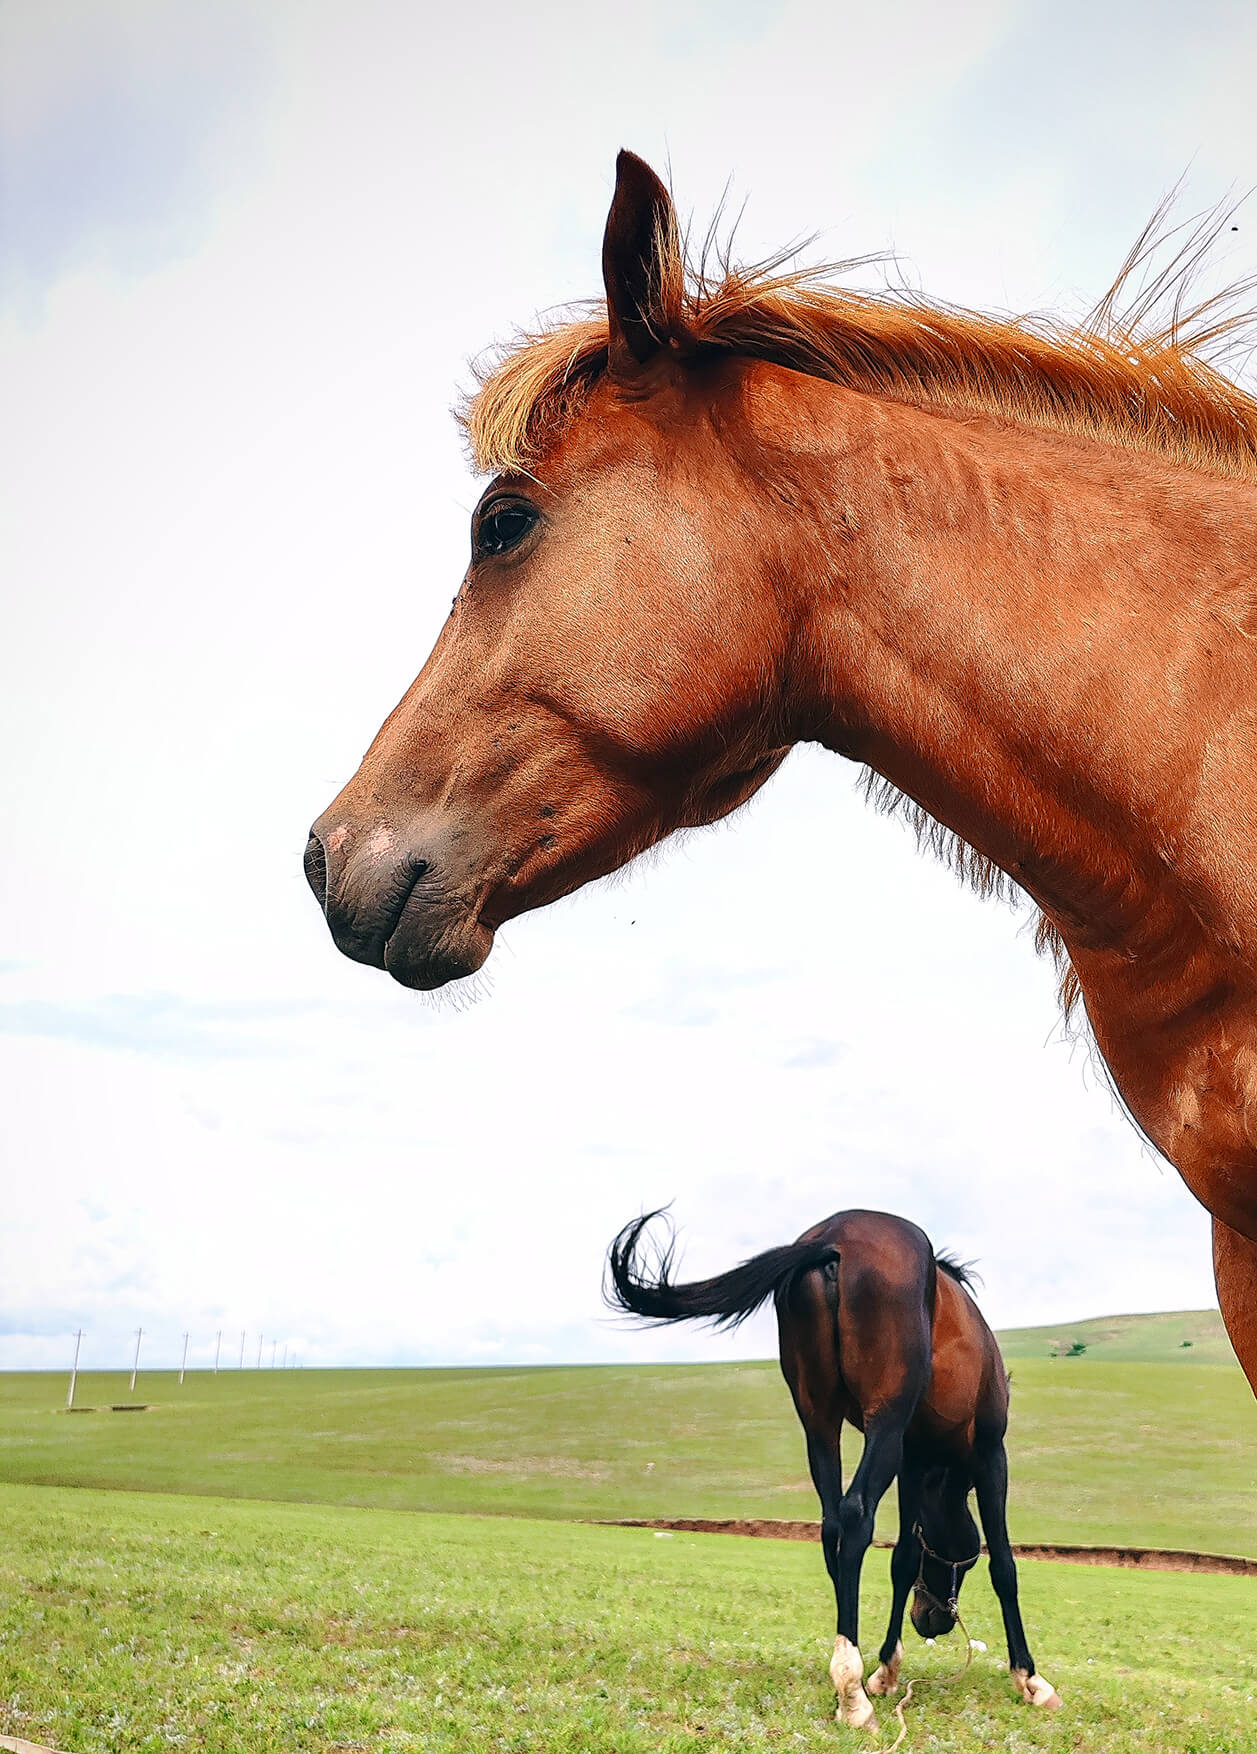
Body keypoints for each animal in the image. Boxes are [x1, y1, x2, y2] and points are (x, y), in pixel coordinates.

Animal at [606, 1207, 1062, 1726]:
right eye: (962, 1561)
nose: (931, 1620)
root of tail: (832, 1238)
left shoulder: (911, 1463)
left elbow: (903, 1558)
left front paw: (886, 1670)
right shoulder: (988, 1453)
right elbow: (1003, 1564)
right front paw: (1030, 1679)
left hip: (819, 1421)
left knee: (831, 1526)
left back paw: (850, 1669)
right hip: (883, 1421)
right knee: (856, 1513)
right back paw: (851, 1691)